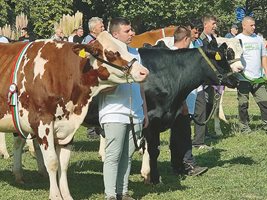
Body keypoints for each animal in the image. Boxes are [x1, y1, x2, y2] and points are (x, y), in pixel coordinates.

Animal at [0, 31, 149, 200]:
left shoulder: (68, 126)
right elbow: (52, 162)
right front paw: (55, 196)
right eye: (112, 53)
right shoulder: (42, 122)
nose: (144, 71)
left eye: (125, 46)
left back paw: (18, 175)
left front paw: (66, 195)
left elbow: (63, 164)